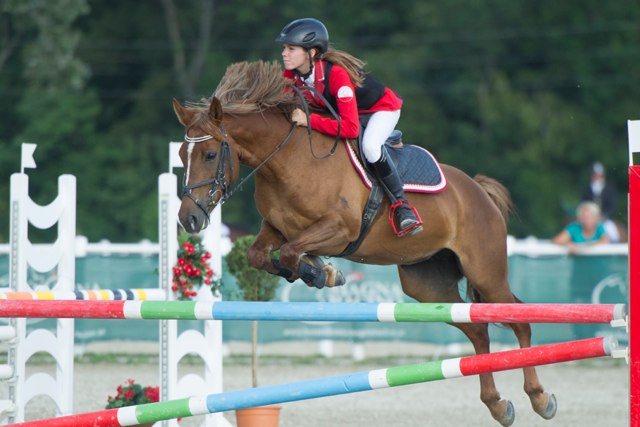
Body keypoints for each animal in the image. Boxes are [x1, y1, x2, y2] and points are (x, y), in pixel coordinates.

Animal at [172, 60, 556, 426]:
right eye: (180, 155)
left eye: (209, 155)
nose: (188, 219)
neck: (287, 161)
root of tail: (479, 192)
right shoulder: (275, 228)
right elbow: (261, 255)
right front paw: (318, 272)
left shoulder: (341, 229)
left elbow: (292, 251)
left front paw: (320, 272)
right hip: (427, 284)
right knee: (476, 329)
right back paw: (498, 405)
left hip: (486, 272)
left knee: (519, 322)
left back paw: (539, 398)